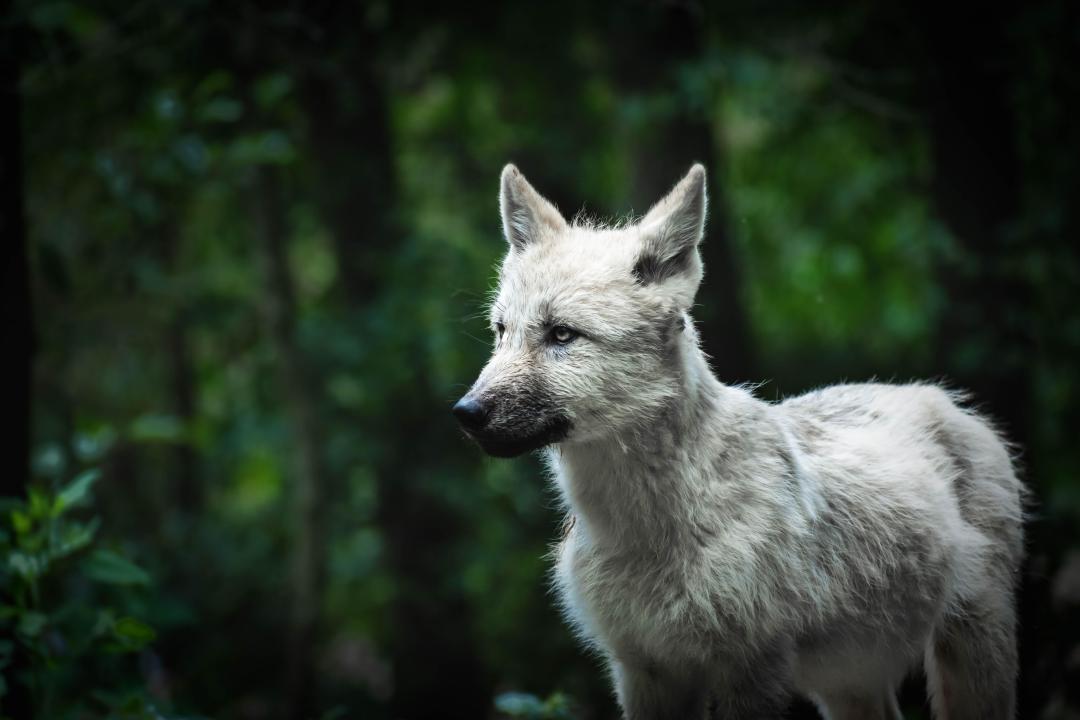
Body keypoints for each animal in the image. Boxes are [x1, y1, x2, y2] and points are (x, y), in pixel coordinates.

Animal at [451, 162, 1023, 720]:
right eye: (501, 332)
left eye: (562, 335)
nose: (465, 413)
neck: (647, 528)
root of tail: (944, 397)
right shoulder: (643, 673)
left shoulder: (750, 671)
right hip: (849, 686)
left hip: (969, 660)